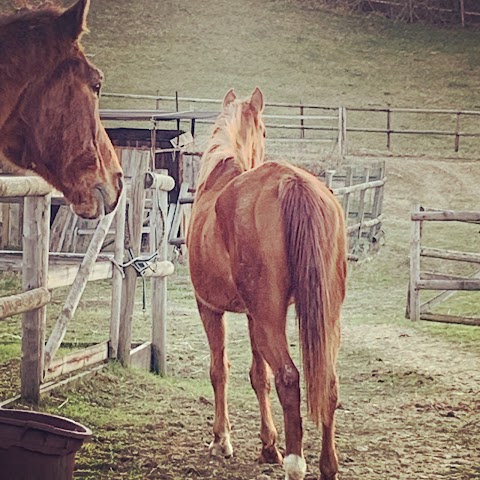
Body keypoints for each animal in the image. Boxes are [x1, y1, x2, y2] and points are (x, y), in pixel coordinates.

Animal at [186, 87, 346, 480]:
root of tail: (291, 181)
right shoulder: (251, 315)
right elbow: (259, 375)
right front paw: (268, 445)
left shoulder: (209, 308)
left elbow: (220, 370)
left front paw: (221, 440)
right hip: (323, 315)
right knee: (328, 383)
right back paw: (327, 465)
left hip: (270, 317)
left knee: (289, 377)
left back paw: (295, 462)